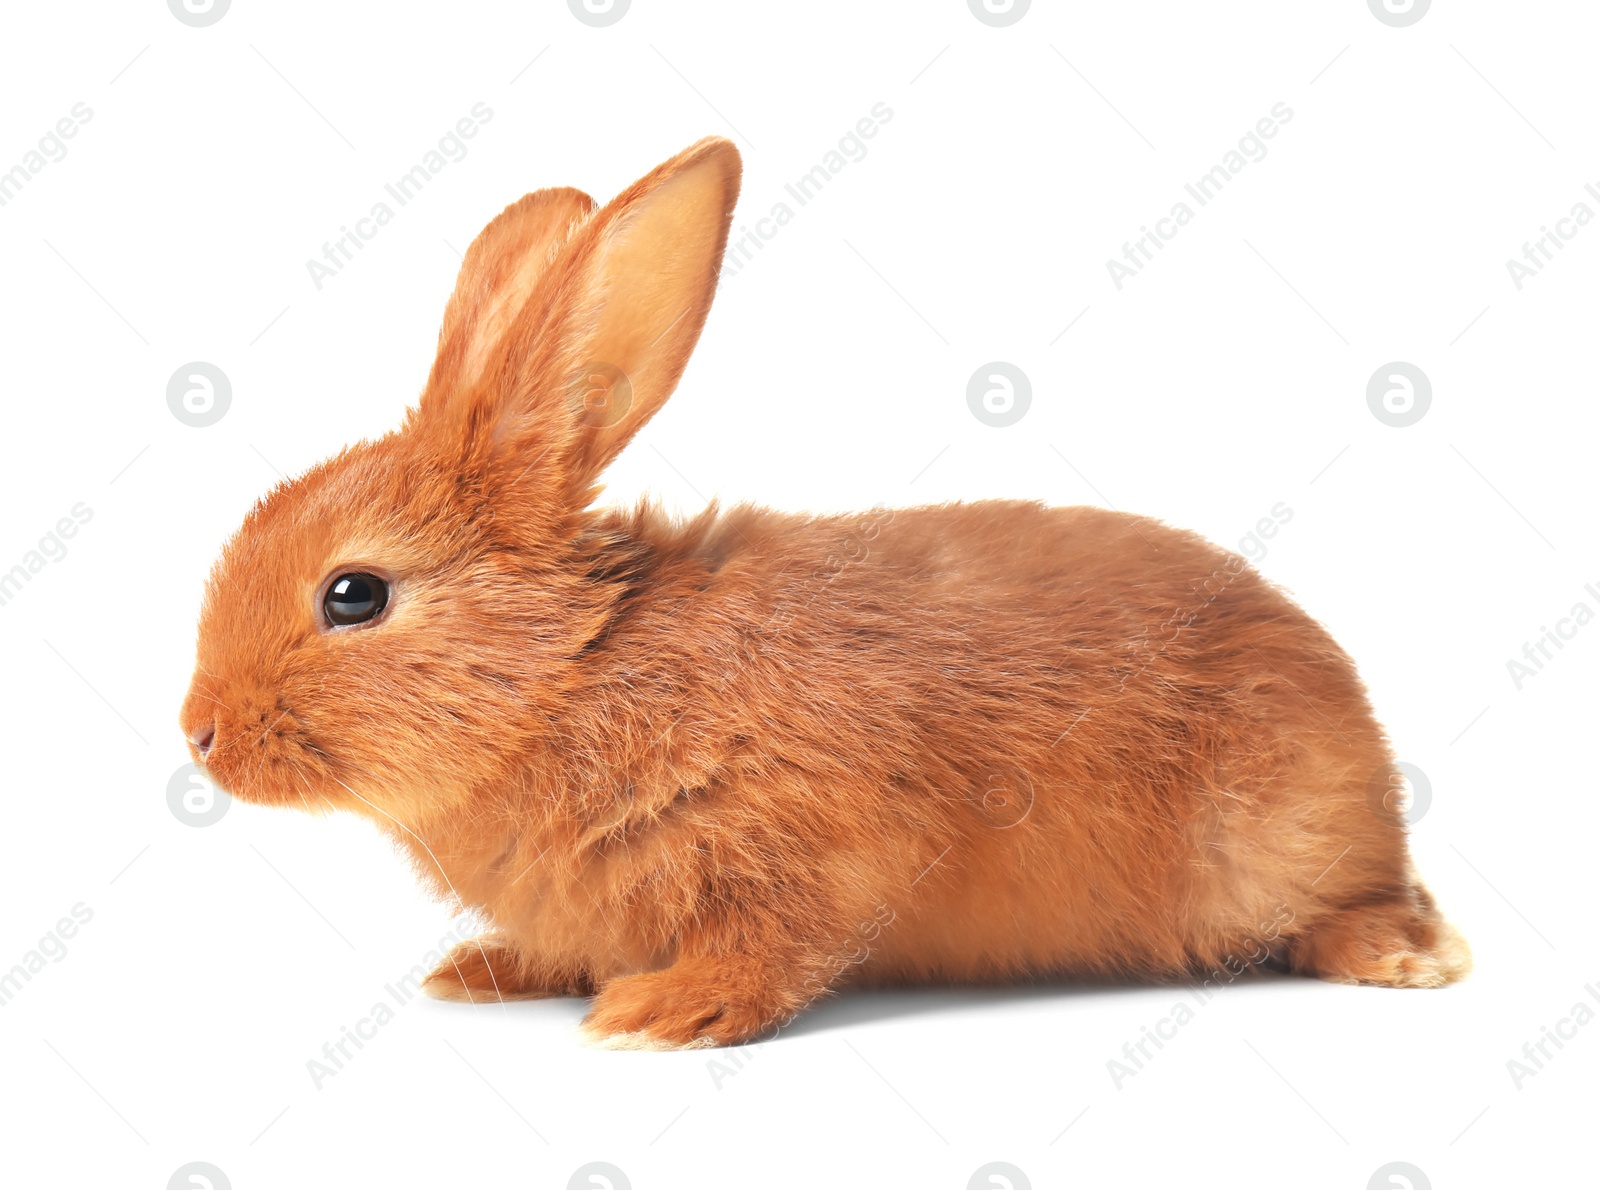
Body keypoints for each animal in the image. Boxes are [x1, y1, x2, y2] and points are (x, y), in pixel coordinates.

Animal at [181, 136, 1465, 1049]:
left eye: (354, 593)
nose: (200, 734)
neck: (574, 667)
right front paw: (491, 971)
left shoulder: (813, 843)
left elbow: (780, 946)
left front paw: (658, 1014)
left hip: (1297, 834)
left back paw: (1409, 958)